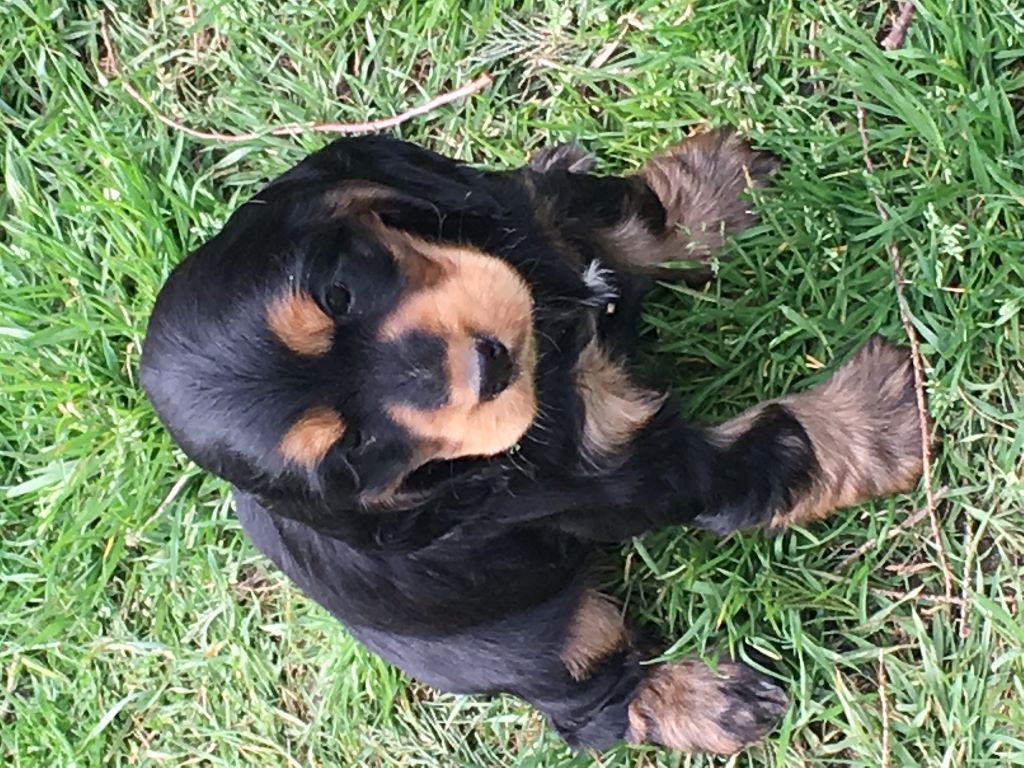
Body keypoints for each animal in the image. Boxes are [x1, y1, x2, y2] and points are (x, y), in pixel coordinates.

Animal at [140, 129, 925, 753]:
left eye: (338, 294)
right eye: (357, 450)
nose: (486, 367)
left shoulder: (533, 215)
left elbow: (624, 221)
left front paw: (713, 190)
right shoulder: (623, 472)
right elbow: (767, 446)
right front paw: (880, 414)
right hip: (544, 643)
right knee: (594, 707)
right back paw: (712, 705)